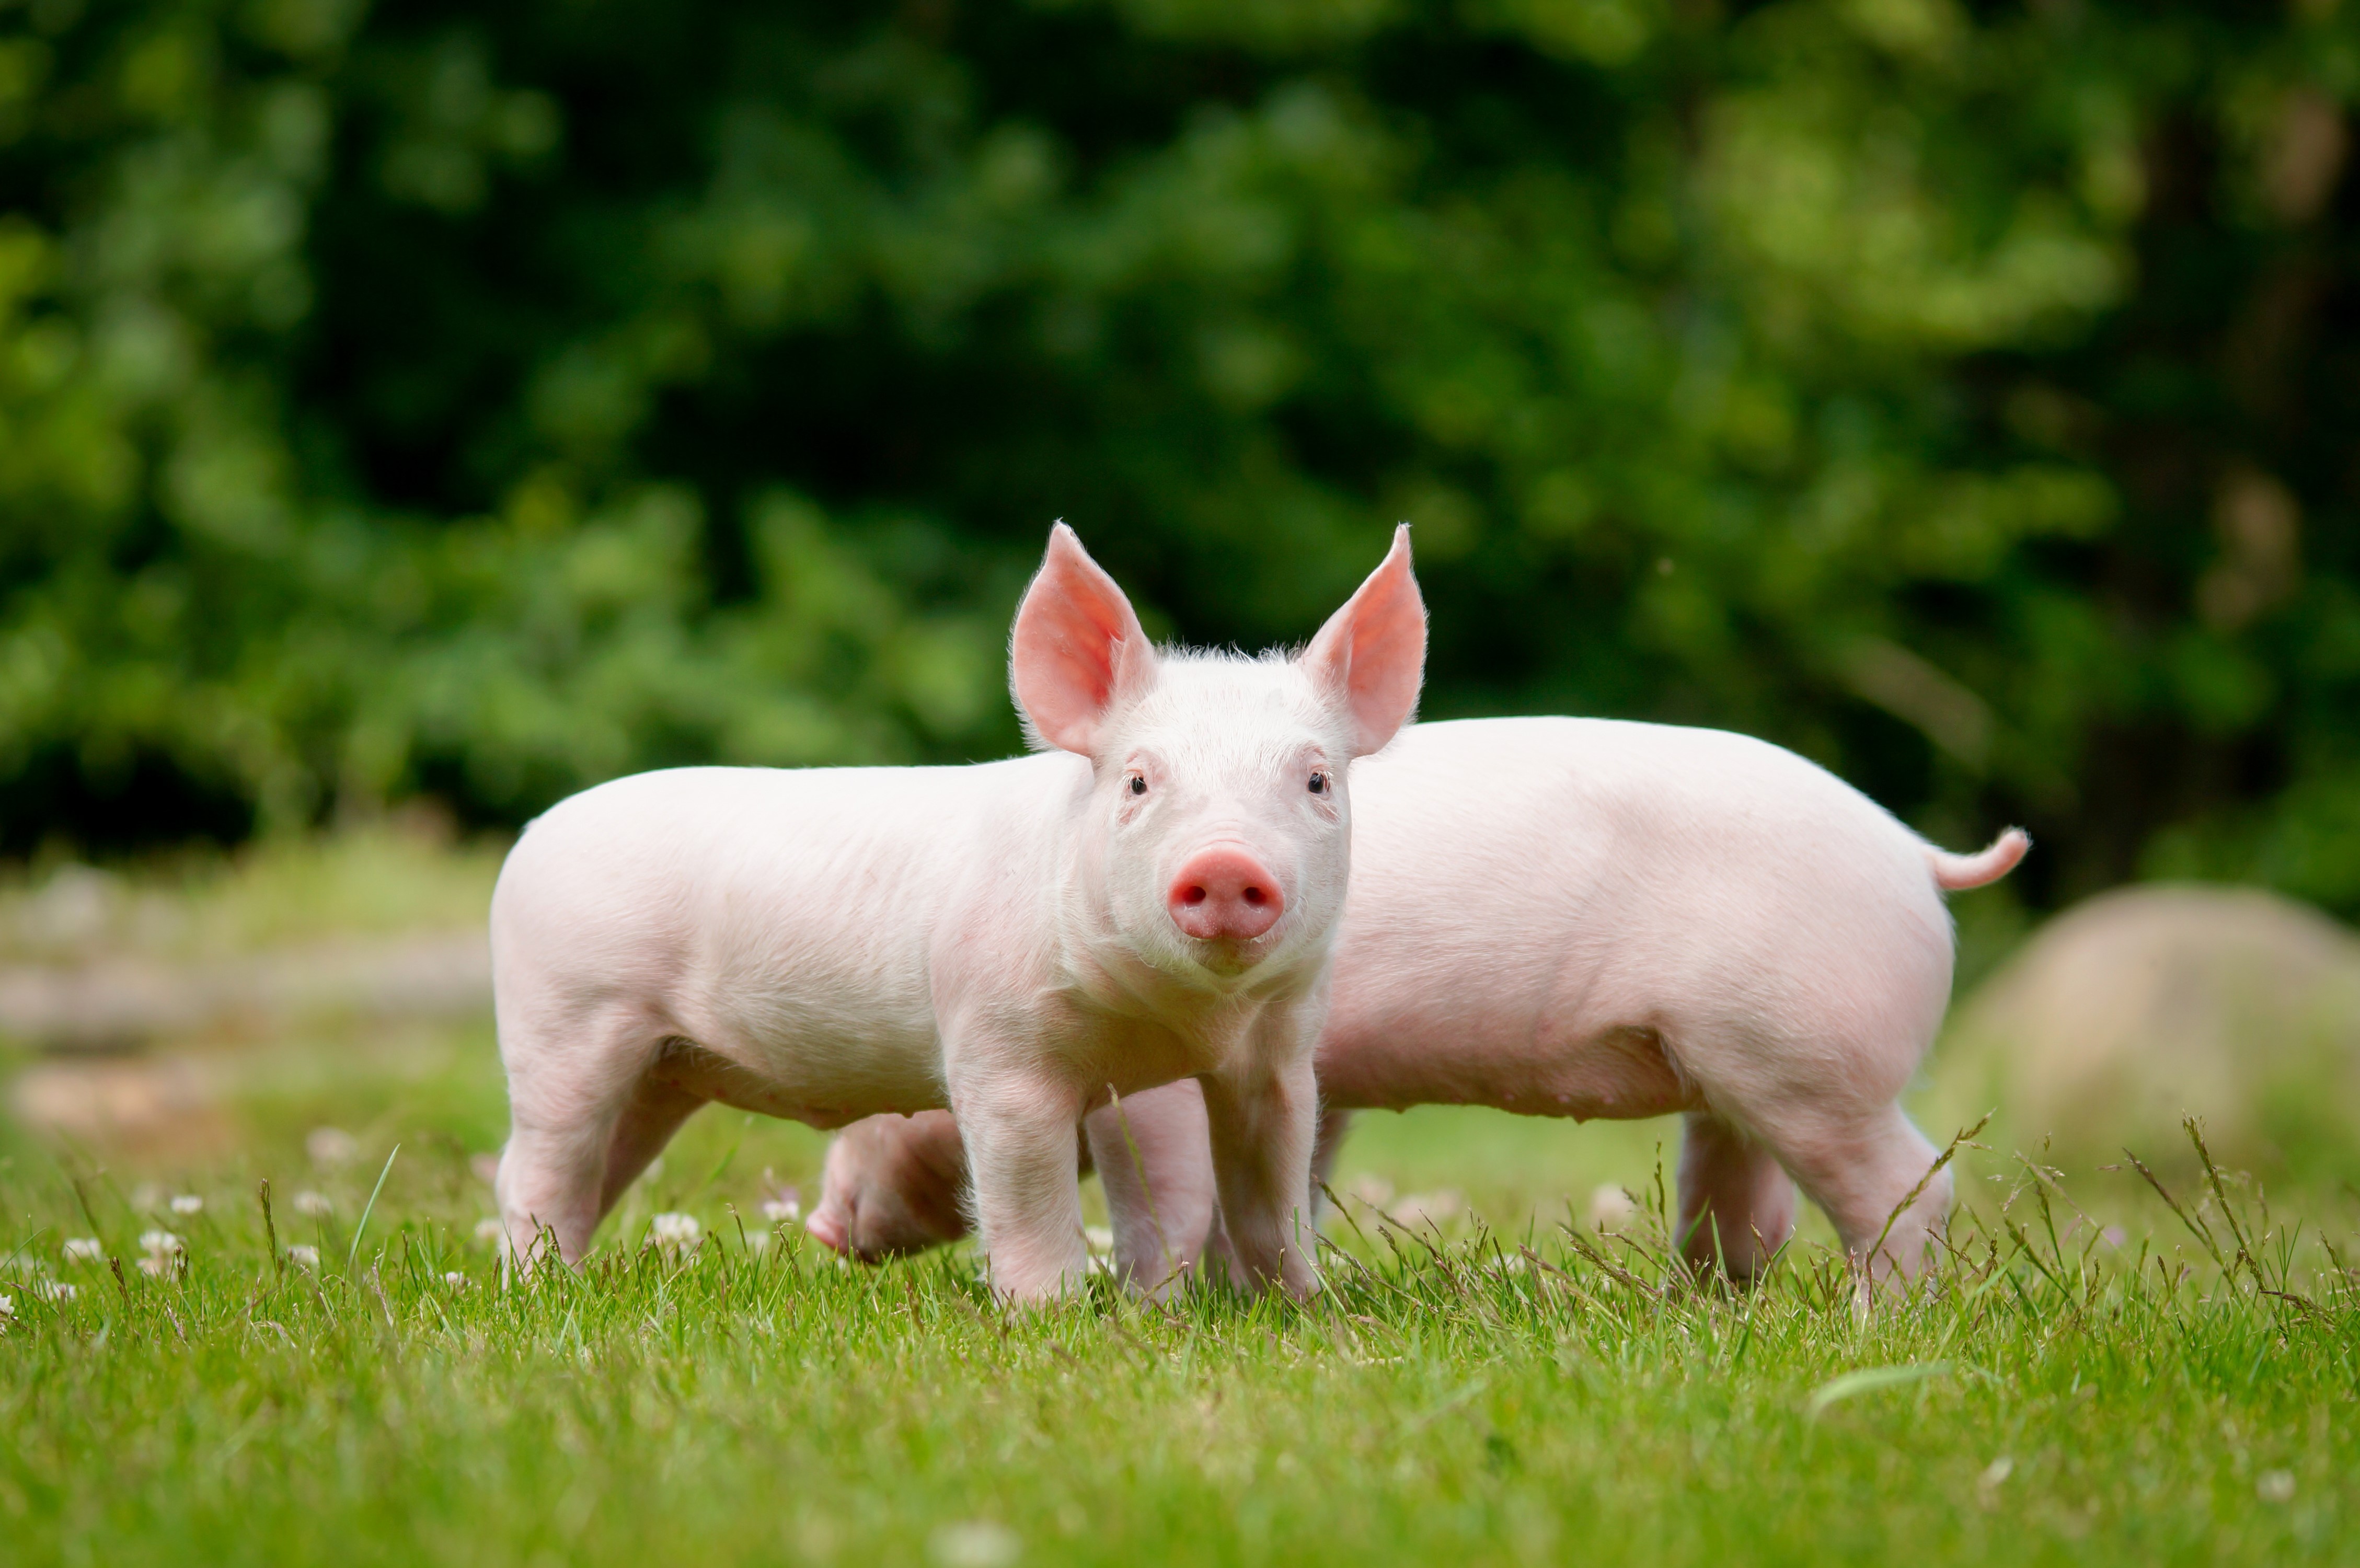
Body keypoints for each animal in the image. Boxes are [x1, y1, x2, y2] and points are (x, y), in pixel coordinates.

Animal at [489, 523, 1427, 1301]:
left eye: (1316, 780)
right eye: (1137, 781)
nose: (1226, 864)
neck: (1184, 1022)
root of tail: (532, 834)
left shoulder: (1281, 1053)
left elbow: (1274, 1195)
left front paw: (1305, 1309)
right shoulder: (997, 1047)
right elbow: (1027, 1200)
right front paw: (1051, 1317)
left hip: (660, 1070)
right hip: (563, 1021)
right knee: (533, 1167)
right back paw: (538, 1290)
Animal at [807, 718, 2028, 1286]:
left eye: (910, 1099)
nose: (821, 1225)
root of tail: (1918, 855)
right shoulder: (1316, 1080)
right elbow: (1293, 1175)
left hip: (1814, 1055)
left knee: (1908, 1188)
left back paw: (1879, 1323)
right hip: (1736, 1070)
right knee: (1746, 1207)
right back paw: (1696, 1305)